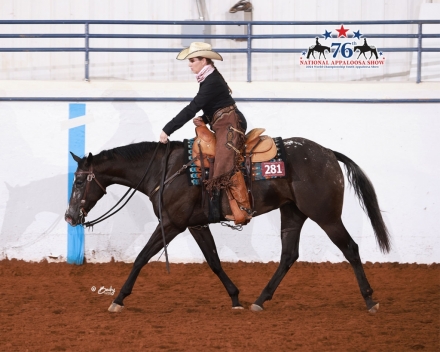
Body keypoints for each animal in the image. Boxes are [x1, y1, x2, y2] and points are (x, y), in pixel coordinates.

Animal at [63, 137, 390, 314]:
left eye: (79, 181)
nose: (69, 216)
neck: (164, 171)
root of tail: (328, 153)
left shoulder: (171, 223)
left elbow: (141, 258)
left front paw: (118, 299)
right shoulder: (194, 225)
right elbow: (214, 261)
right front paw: (235, 298)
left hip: (326, 215)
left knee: (350, 248)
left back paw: (370, 300)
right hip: (292, 213)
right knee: (289, 255)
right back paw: (259, 300)